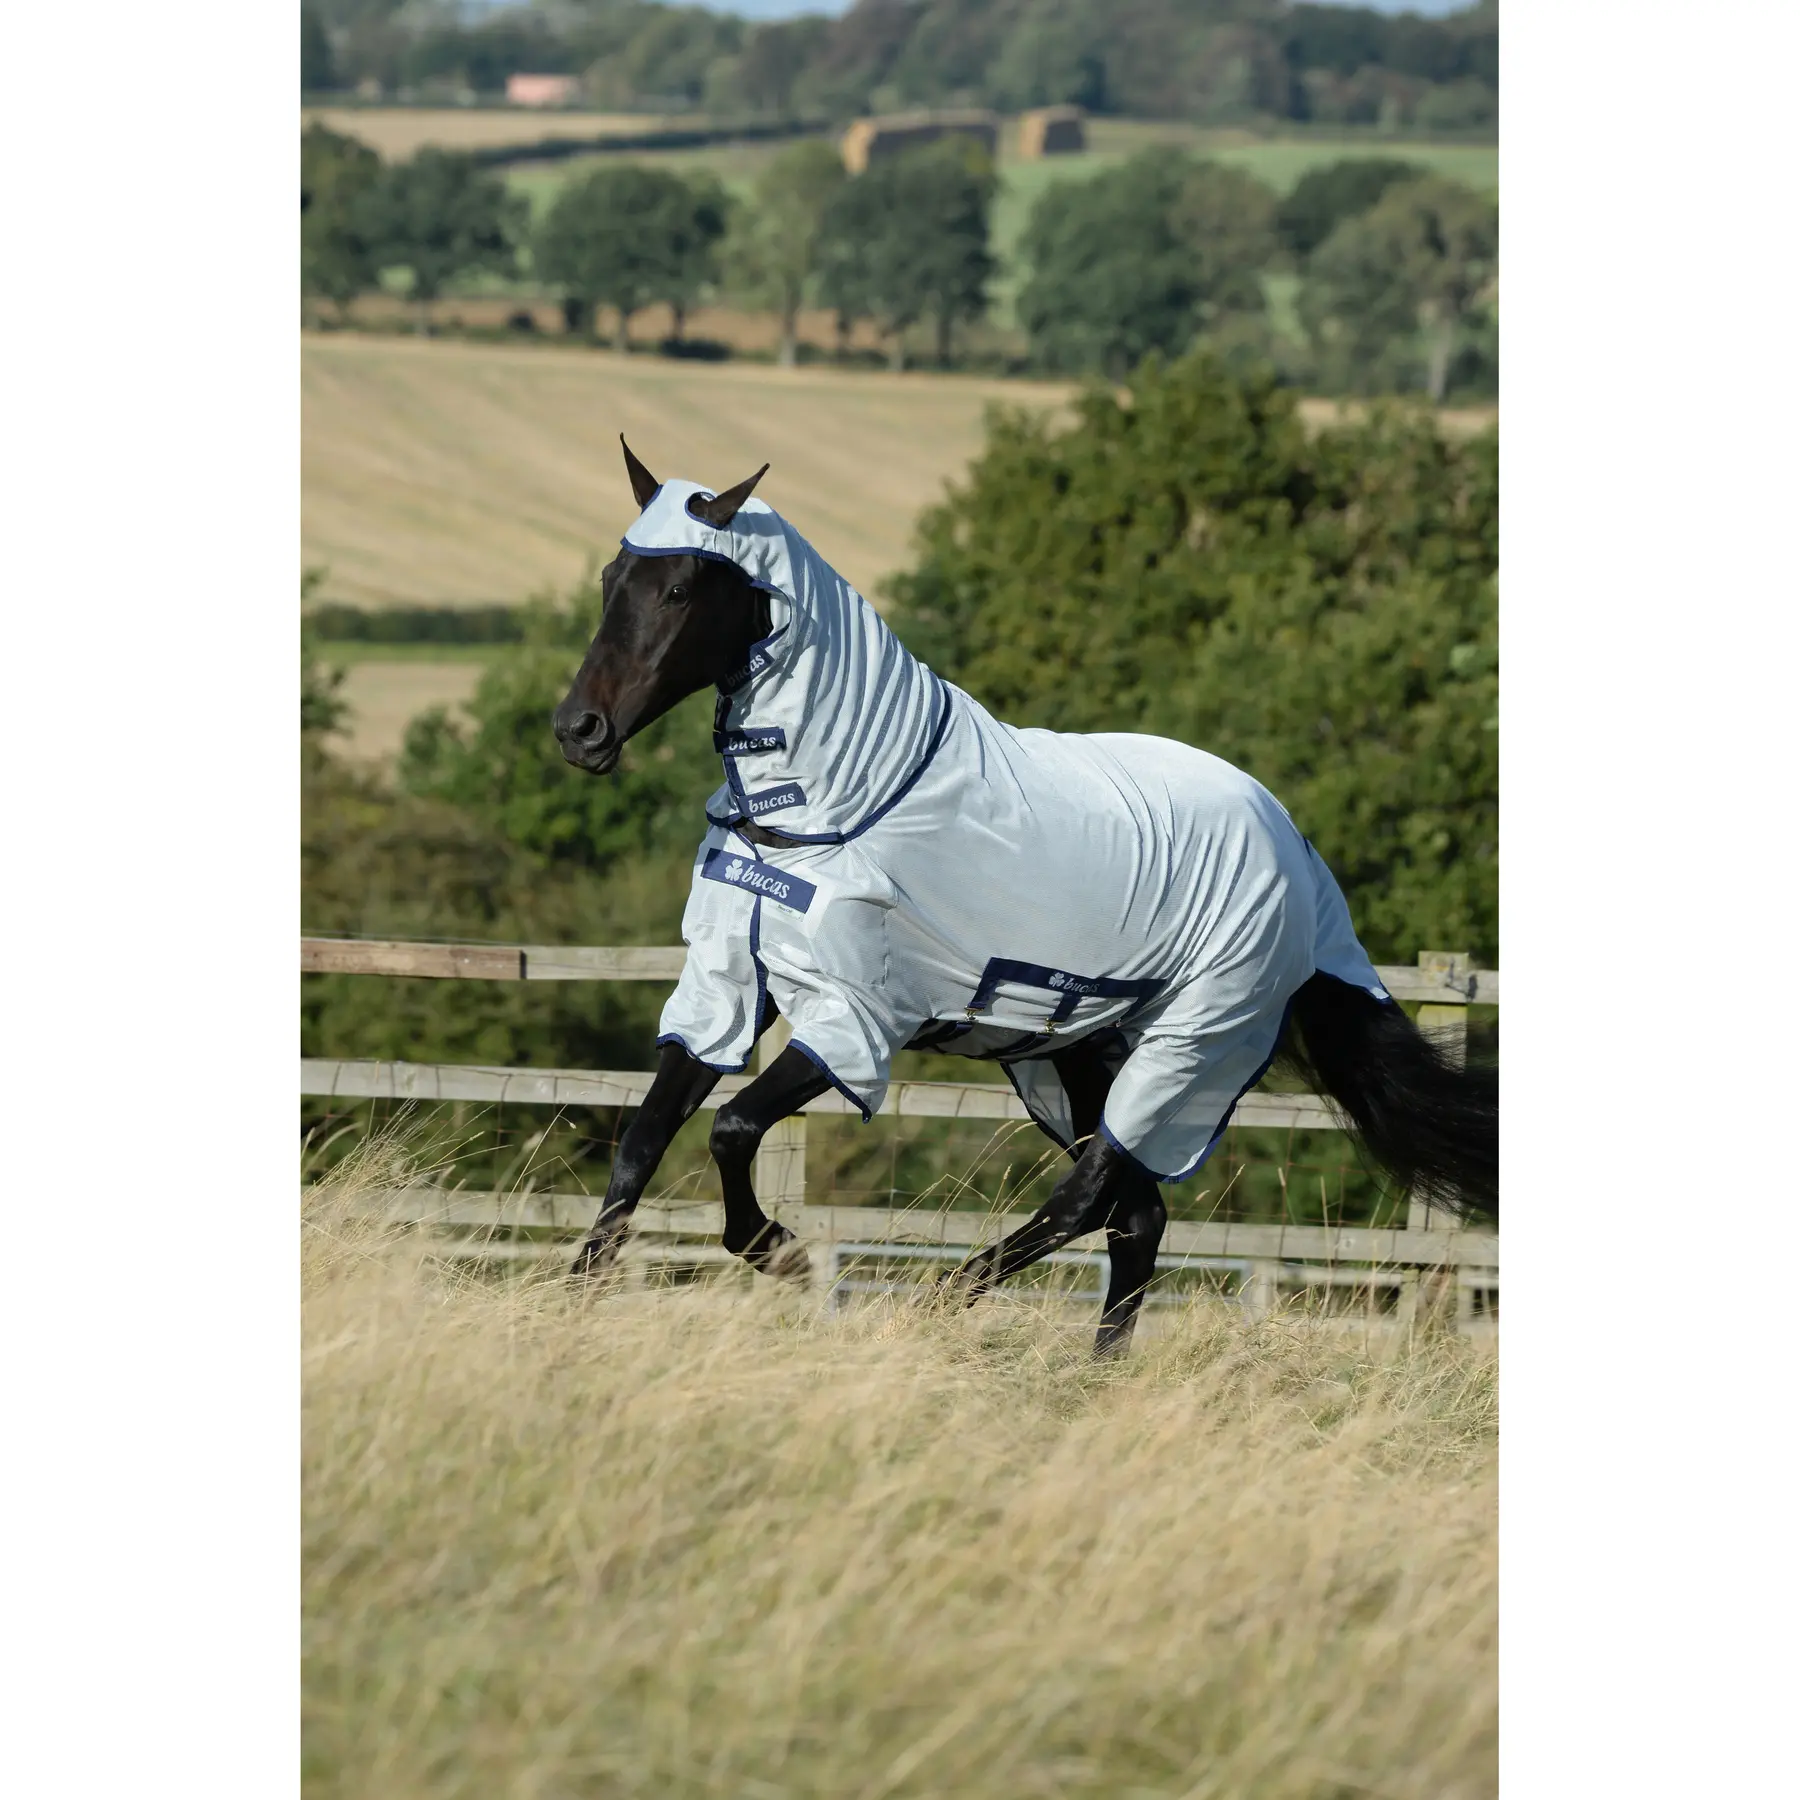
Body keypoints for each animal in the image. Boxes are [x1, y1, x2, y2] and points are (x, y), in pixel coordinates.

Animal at [551, 440, 1498, 1356]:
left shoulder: (857, 1016)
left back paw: (938, 1302)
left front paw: (778, 1253)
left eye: (680, 589)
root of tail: (1297, 851)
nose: (578, 731)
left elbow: (732, 1129)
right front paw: (576, 1299)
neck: (835, 807)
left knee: (1091, 1197)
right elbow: (643, 1141)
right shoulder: (728, 988)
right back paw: (1095, 1375)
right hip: (1077, 1052)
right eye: (609, 579)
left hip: (1191, 1048)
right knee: (1137, 1216)